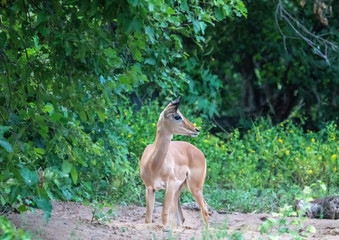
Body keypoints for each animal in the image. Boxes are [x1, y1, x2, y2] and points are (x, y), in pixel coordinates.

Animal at [139, 96, 209, 228]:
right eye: (177, 116)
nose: (196, 129)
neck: (153, 164)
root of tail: (200, 153)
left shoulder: (169, 185)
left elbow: (164, 213)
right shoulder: (150, 188)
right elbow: (148, 218)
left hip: (195, 188)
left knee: (205, 208)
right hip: (178, 191)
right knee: (181, 217)